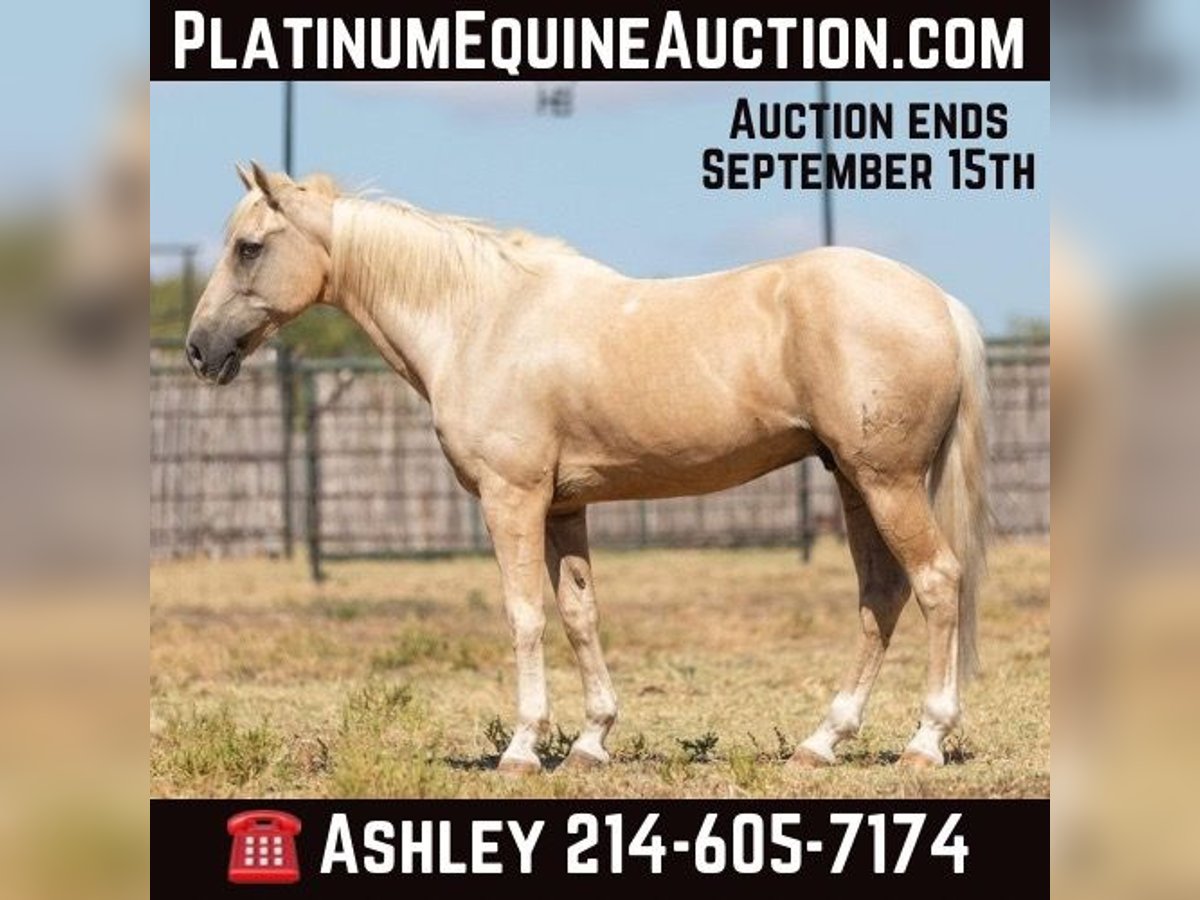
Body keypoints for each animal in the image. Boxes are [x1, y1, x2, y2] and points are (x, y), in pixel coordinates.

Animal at [185, 162, 989, 774]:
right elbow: (578, 614)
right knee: (881, 596)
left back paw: (924, 742)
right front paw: (592, 742)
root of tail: (940, 303)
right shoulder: (564, 507)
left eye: (249, 248)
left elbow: (524, 616)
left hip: (886, 484)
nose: (199, 350)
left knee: (935, 582)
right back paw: (822, 742)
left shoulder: (511, 500)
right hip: (854, 482)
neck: (481, 320)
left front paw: (521, 749)